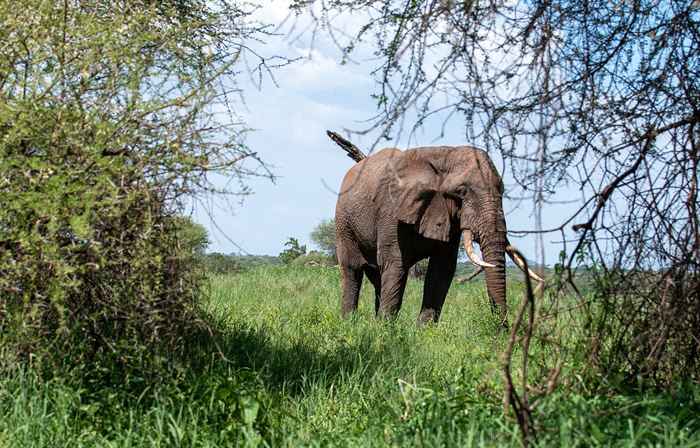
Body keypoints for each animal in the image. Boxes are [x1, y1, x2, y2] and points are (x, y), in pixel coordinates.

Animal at [332, 137, 542, 325]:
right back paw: (349, 323)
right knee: (353, 270)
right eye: (461, 192)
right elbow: (395, 264)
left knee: (377, 278)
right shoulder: (391, 211)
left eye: (502, 191)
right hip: (344, 222)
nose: (503, 333)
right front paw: (385, 331)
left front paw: (424, 332)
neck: (445, 156)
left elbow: (441, 270)